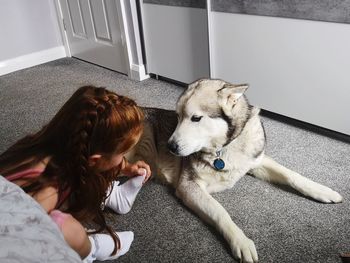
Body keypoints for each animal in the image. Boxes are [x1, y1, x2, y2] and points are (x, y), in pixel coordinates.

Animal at [128, 79, 342, 263]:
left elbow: (292, 175)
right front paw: (241, 241)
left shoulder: (257, 161)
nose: (170, 146)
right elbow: (220, 212)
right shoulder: (188, 185)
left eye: (196, 118)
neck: (224, 147)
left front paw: (322, 190)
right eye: (178, 117)